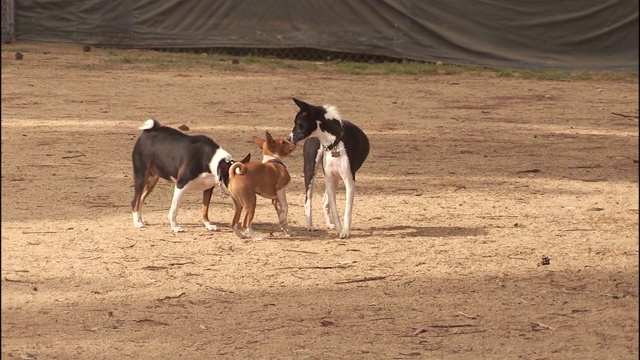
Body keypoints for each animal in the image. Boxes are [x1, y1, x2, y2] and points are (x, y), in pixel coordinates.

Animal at [286, 98, 368, 239]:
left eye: (299, 123)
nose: (289, 138)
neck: (334, 141)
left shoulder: (348, 181)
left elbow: (346, 210)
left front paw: (344, 231)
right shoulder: (329, 179)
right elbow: (334, 209)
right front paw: (340, 230)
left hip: (335, 180)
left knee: (324, 202)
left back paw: (330, 224)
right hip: (310, 171)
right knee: (308, 200)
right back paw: (310, 225)